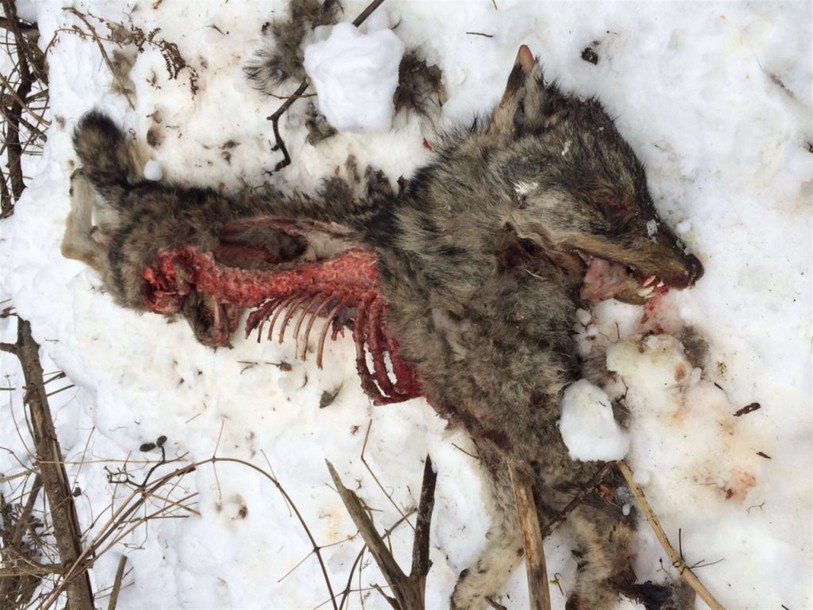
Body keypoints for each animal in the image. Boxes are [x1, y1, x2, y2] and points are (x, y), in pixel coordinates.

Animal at [64, 45, 702, 609]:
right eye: (612, 200)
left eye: (645, 196)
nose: (694, 267)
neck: (497, 245)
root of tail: (148, 199)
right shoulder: (526, 418)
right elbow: (602, 521)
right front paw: (594, 585)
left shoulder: (498, 426)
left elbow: (522, 532)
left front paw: (479, 590)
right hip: (136, 282)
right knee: (79, 236)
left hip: (152, 293)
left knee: (84, 242)